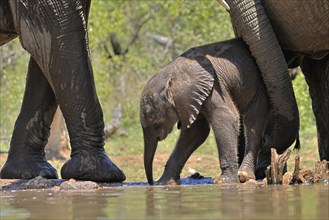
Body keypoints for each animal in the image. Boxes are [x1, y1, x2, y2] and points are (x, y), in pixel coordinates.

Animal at [140, 38, 296, 186]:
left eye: (156, 124)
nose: (151, 183)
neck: (172, 74)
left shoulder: (214, 87)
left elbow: (227, 118)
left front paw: (224, 182)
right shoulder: (193, 98)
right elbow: (195, 133)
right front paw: (164, 183)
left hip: (261, 88)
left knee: (252, 122)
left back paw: (244, 175)